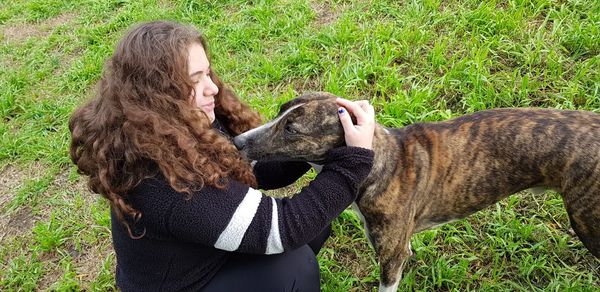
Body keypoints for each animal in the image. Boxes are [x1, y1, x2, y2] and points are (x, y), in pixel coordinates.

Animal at [233, 92, 600, 290]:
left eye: (292, 130)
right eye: (280, 110)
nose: (236, 142)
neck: (382, 159)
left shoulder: (392, 257)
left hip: (587, 222)